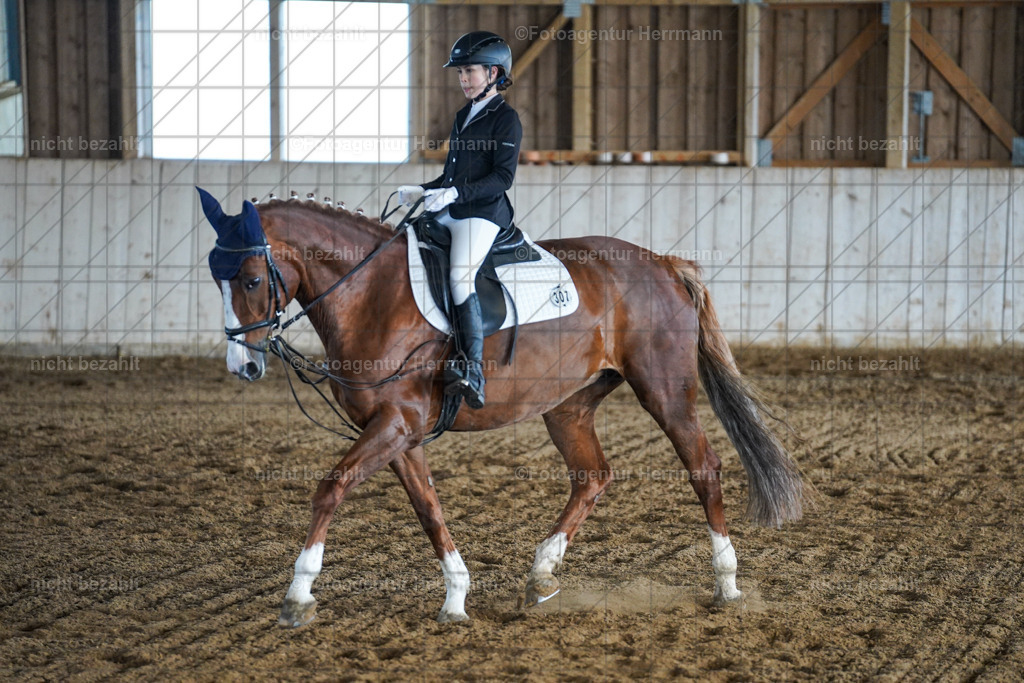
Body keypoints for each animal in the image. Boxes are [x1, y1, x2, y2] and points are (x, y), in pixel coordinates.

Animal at [199, 189, 803, 627]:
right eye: (216, 279)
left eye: (251, 279)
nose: (242, 366)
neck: (372, 293)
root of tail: (661, 261)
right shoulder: (399, 432)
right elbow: (428, 509)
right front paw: (455, 600)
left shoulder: (397, 423)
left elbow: (331, 488)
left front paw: (297, 596)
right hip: (567, 405)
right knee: (593, 476)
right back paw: (541, 576)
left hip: (664, 392)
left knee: (704, 468)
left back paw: (727, 584)